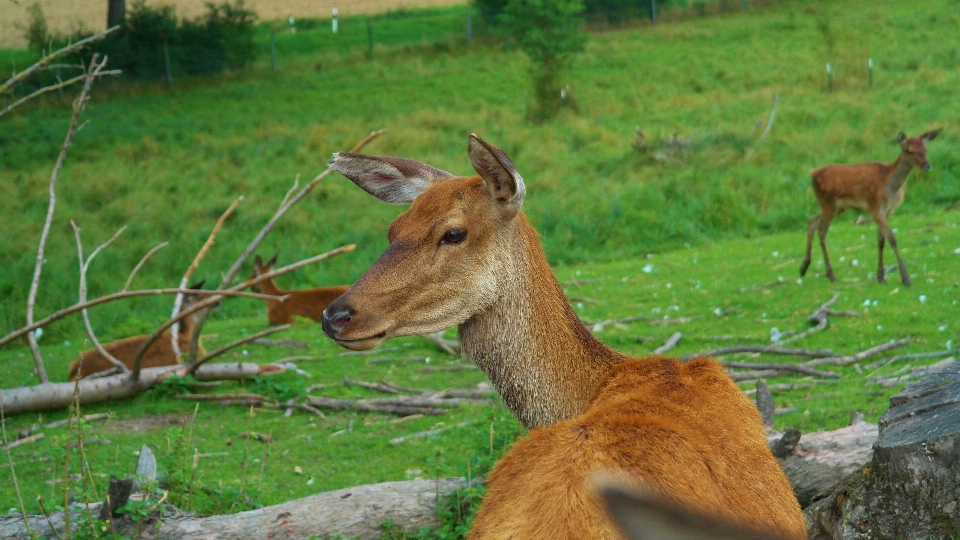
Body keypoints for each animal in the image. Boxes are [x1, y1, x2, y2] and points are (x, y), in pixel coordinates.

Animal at [800, 129, 940, 286]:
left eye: (925, 150)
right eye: (910, 150)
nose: (927, 165)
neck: (891, 187)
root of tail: (812, 174)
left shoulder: (886, 211)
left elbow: (881, 241)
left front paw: (880, 276)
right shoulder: (875, 207)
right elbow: (892, 239)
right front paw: (905, 278)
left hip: (837, 207)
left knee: (812, 222)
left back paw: (803, 268)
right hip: (827, 202)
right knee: (821, 231)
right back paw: (831, 274)